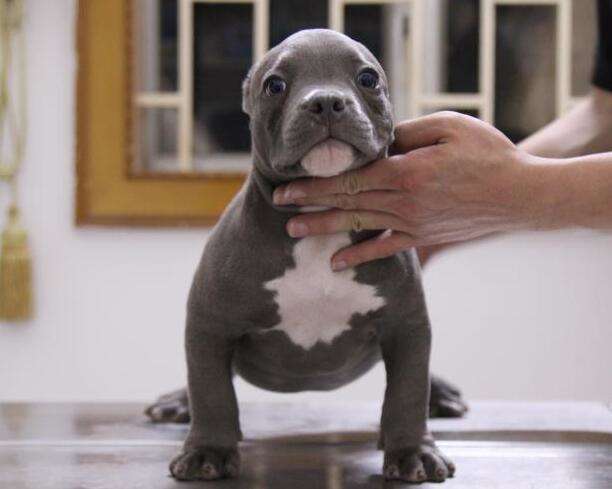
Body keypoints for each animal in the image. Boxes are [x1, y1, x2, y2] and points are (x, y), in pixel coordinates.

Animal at [167, 28, 454, 482]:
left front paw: (412, 452)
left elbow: (407, 391)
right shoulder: (210, 324)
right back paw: (178, 402)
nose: (326, 101)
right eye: (275, 85)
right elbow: (211, 390)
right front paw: (207, 450)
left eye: (368, 79)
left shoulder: (406, 327)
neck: (321, 217)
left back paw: (440, 393)